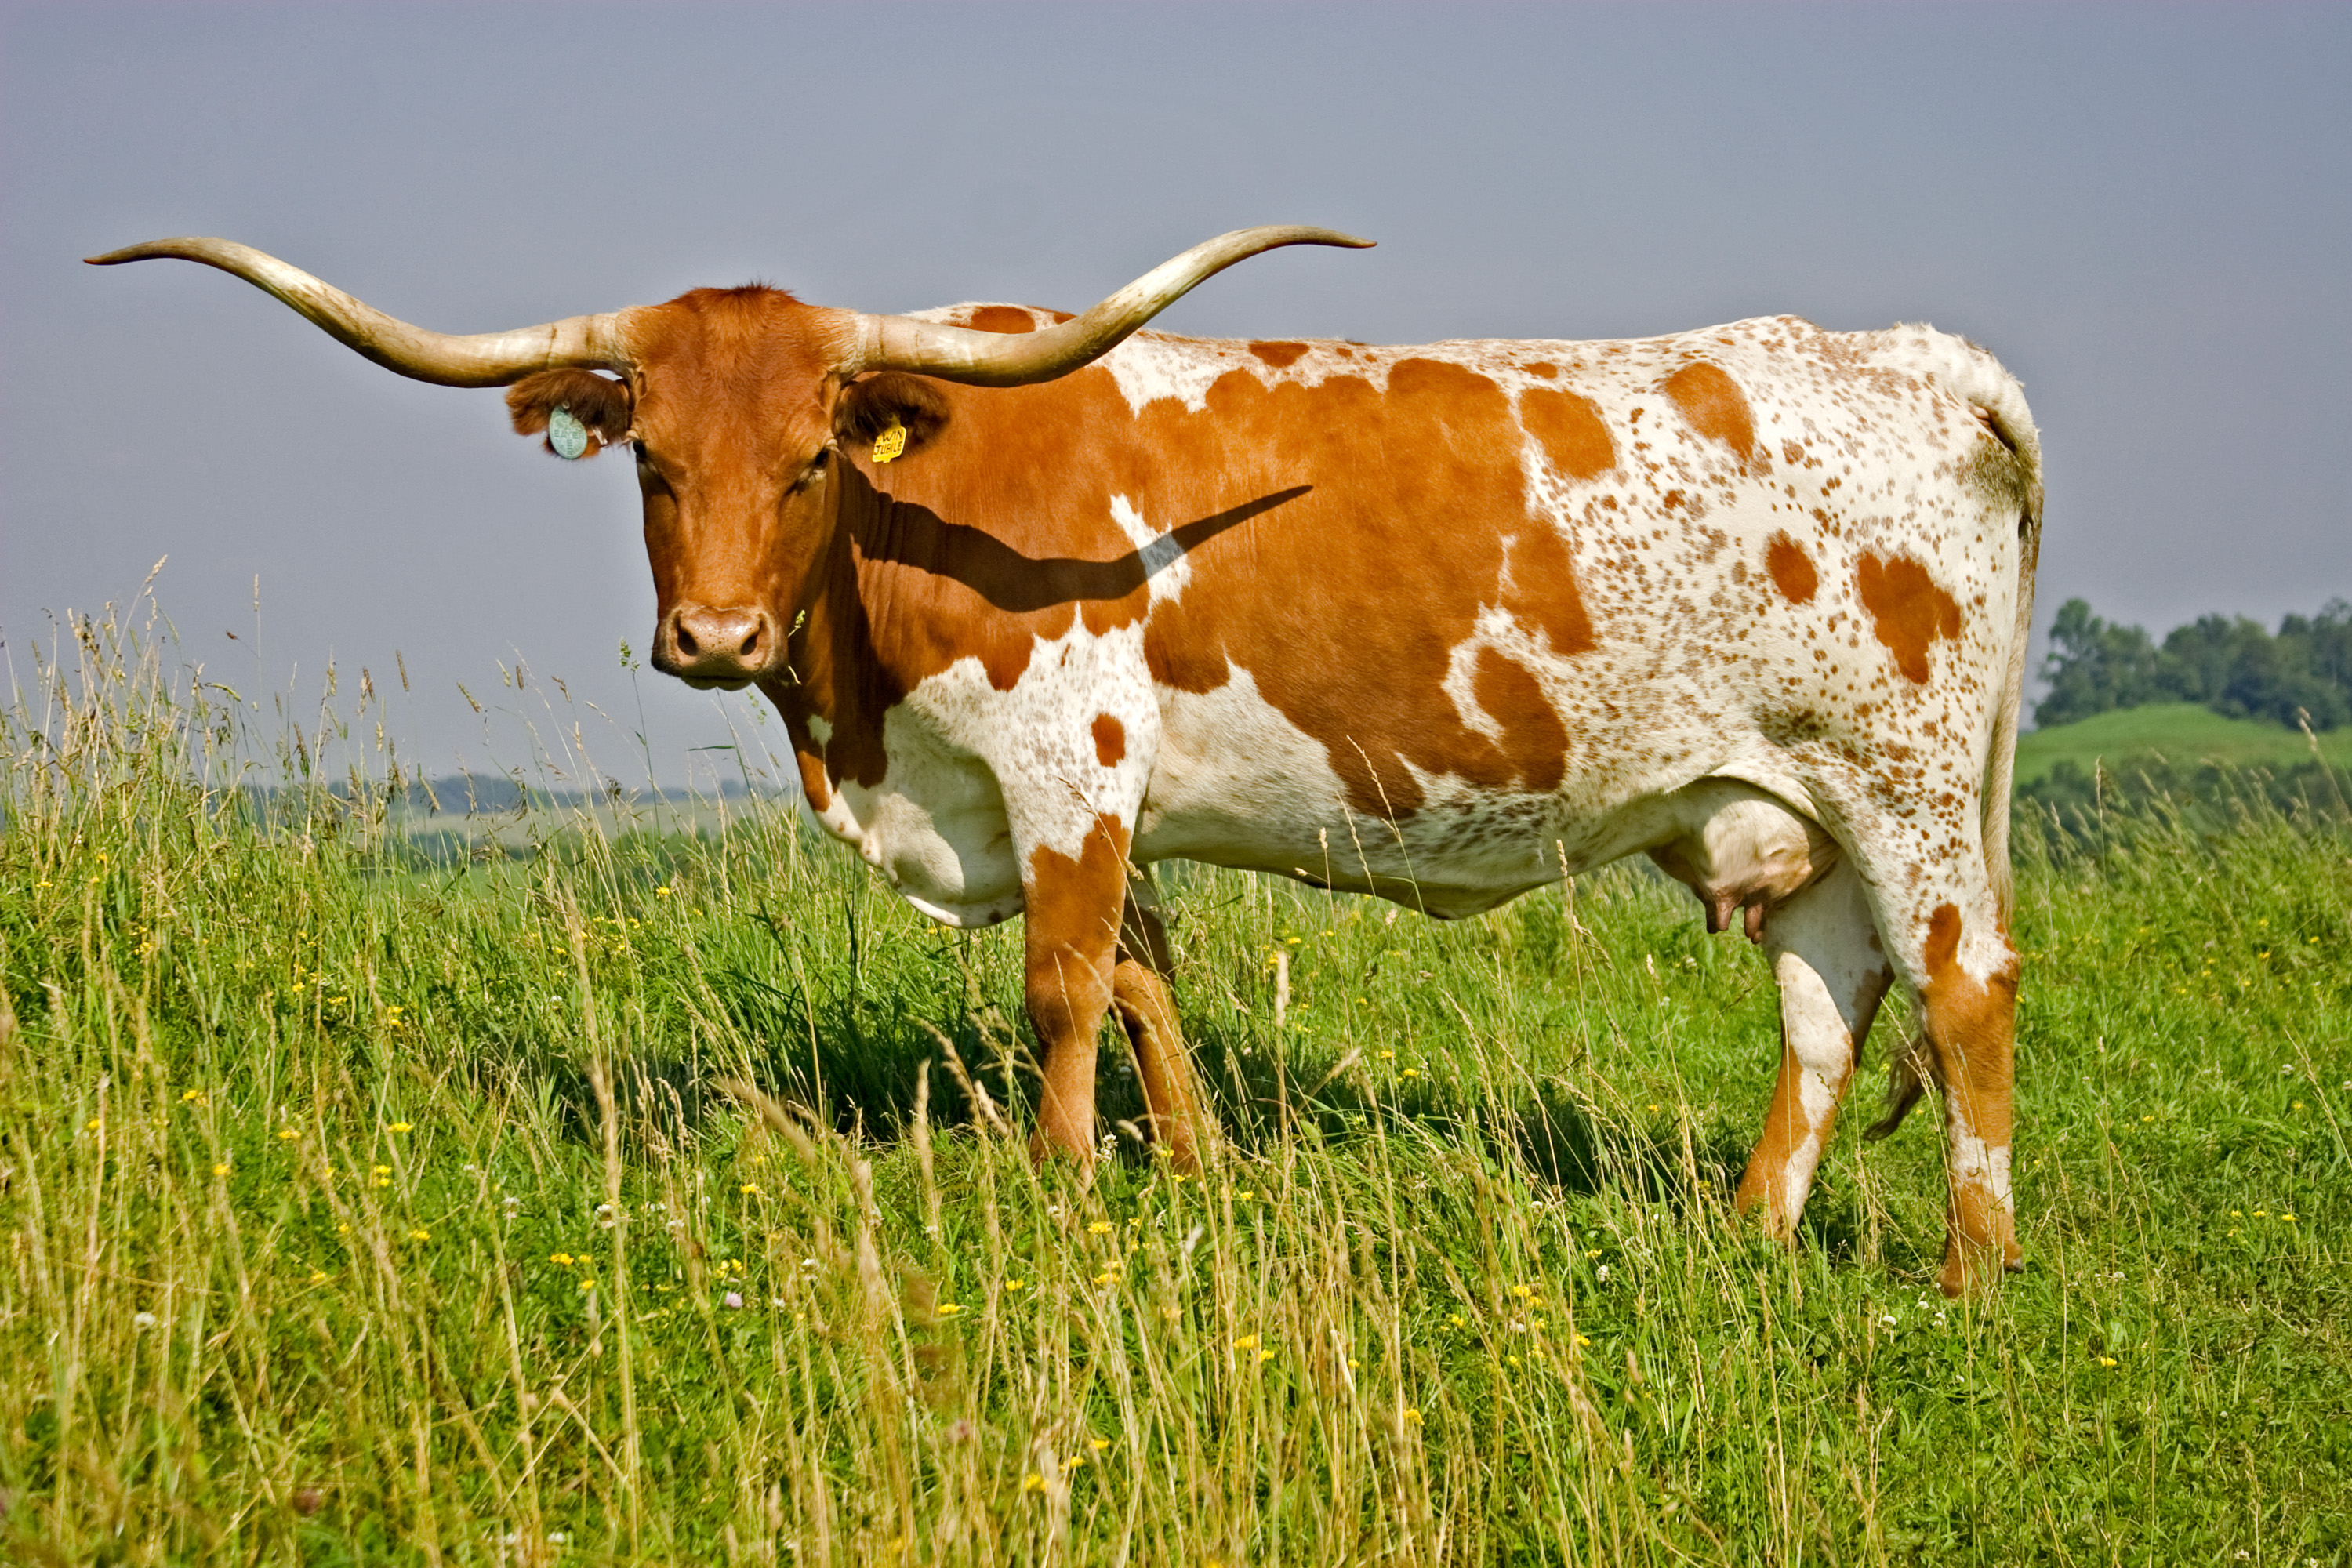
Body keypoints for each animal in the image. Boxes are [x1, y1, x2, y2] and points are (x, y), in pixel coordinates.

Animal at [92, 227, 2042, 1298]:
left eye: (813, 456)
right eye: (649, 456)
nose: (712, 635)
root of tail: (1920, 360)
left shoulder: (1067, 768)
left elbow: (1059, 983)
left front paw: (1061, 1190)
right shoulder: (1106, 806)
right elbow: (1149, 983)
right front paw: (1187, 1184)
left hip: (1910, 786)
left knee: (1965, 991)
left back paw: (1967, 1274)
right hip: (1791, 805)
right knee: (1827, 1003)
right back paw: (1753, 1238)